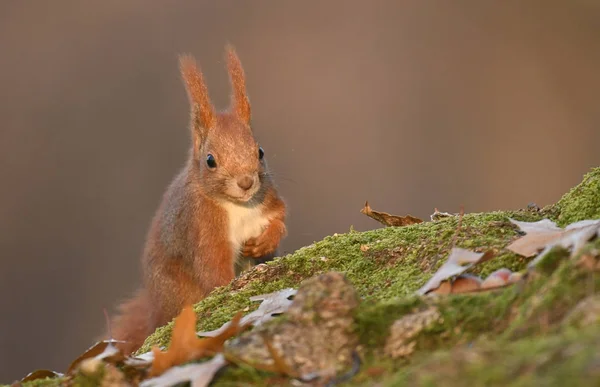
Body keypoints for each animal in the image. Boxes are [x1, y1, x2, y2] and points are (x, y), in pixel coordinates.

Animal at [109, 45, 288, 354]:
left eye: (260, 151)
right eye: (210, 160)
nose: (246, 183)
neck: (237, 205)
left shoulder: (266, 201)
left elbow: (279, 218)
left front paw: (265, 241)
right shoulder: (203, 228)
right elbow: (213, 269)